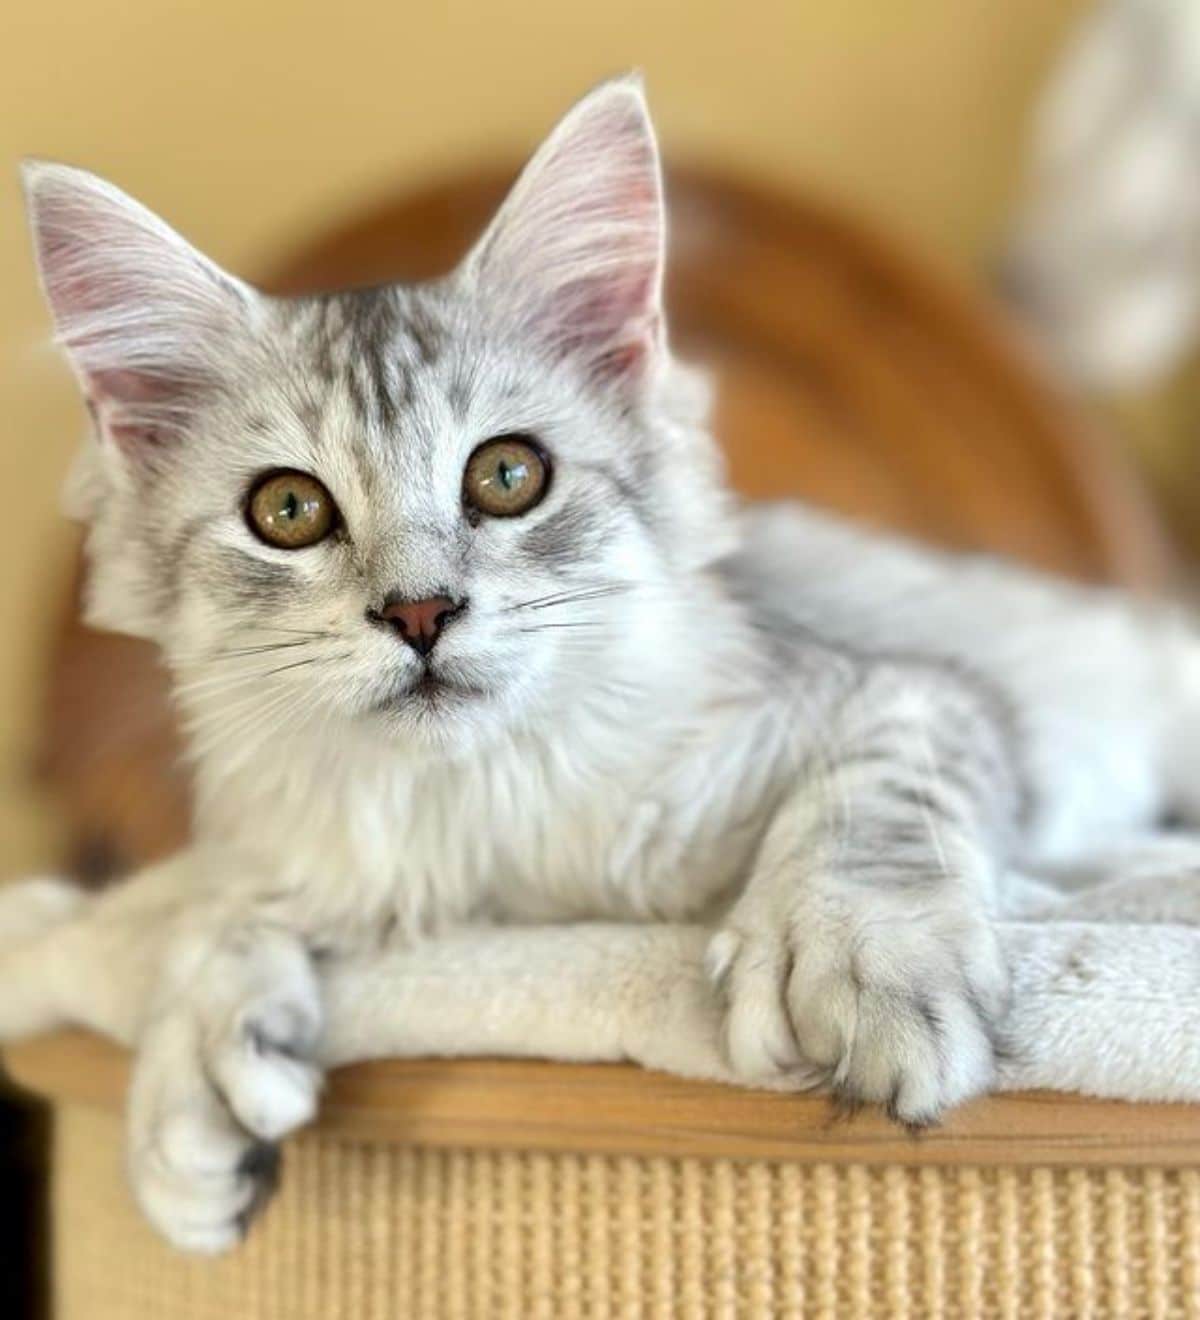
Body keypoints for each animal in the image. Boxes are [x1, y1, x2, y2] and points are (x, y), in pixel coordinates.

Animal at [7, 77, 1198, 1251]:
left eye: (506, 476)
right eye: (289, 510)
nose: (420, 611)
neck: (481, 818)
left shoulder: (912, 688)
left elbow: (873, 805)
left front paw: (859, 962)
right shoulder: (290, 840)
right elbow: (198, 899)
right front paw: (191, 1068)